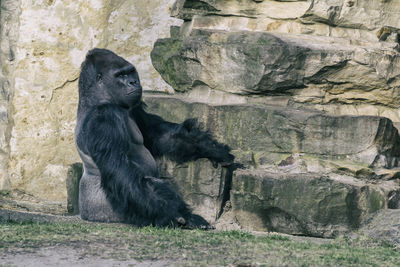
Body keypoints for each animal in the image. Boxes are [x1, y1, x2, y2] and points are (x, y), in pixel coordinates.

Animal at [75, 47, 234, 228]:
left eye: (130, 72)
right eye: (120, 75)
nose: (133, 82)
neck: (98, 97)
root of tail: (85, 214)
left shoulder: (135, 106)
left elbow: (159, 135)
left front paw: (211, 149)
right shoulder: (104, 117)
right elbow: (120, 171)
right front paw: (175, 214)